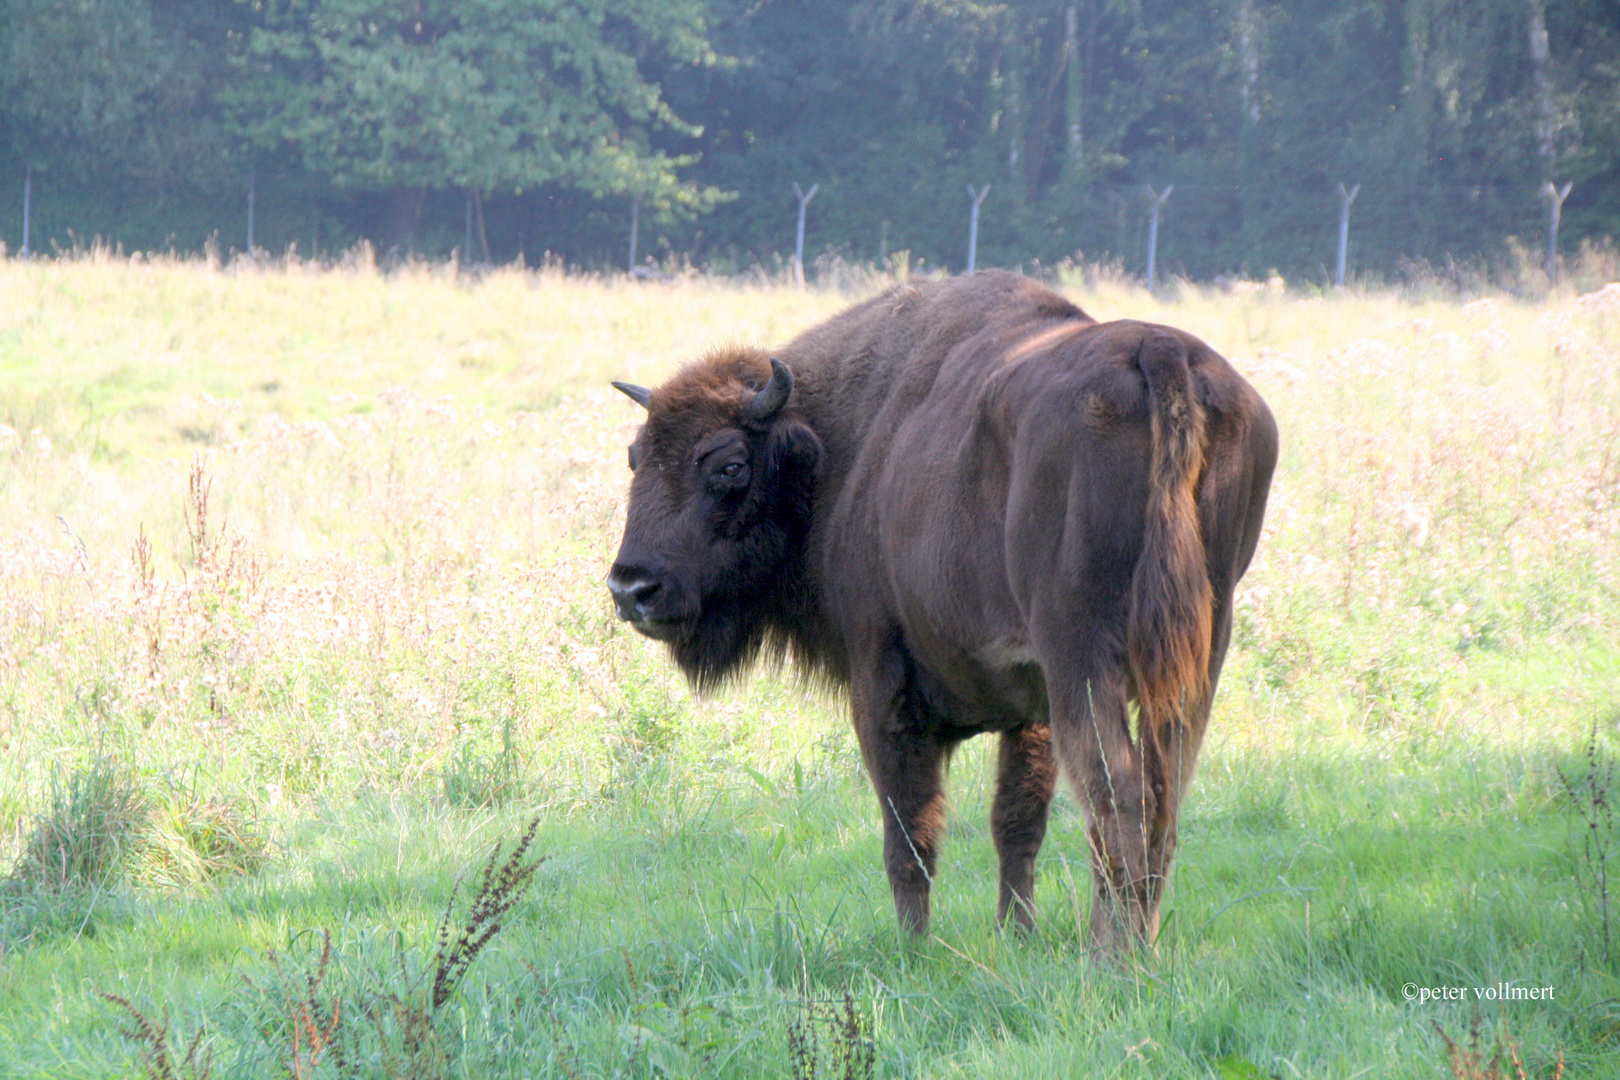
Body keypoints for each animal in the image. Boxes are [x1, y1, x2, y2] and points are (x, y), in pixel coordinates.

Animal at [609, 275, 1276, 952]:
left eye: (730, 466)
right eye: (636, 457)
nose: (632, 587)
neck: (839, 446)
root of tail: (1161, 353)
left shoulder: (882, 690)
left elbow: (910, 835)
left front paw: (915, 948)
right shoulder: (1030, 709)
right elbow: (1017, 824)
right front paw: (1016, 936)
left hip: (1084, 663)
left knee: (1119, 804)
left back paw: (1108, 957)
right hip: (1197, 658)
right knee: (1164, 802)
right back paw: (1142, 944)